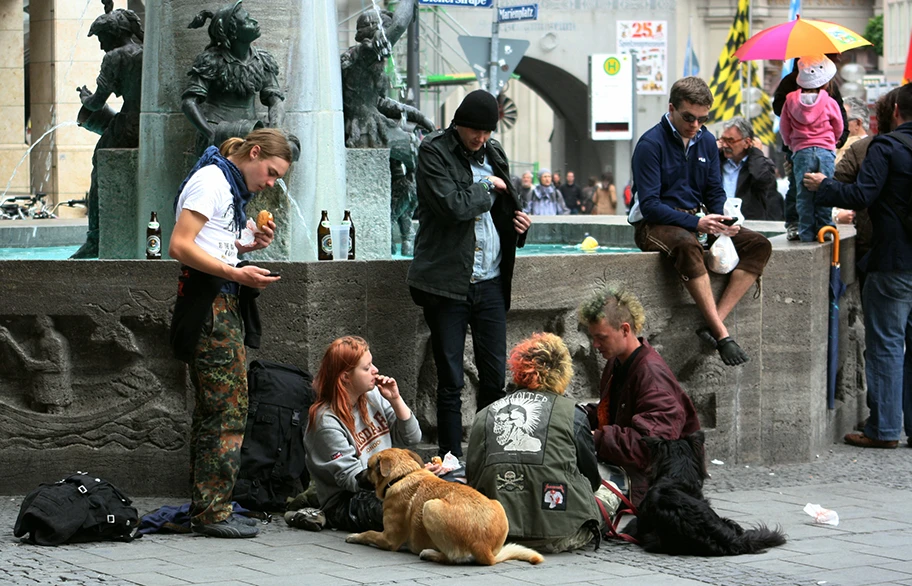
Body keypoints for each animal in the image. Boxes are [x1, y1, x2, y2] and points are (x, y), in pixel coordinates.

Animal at [342, 448, 540, 560]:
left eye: (368, 467)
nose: (355, 476)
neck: (403, 475)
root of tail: (484, 550)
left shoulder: (388, 538)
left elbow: (369, 533)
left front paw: (355, 536)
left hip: (430, 507)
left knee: (451, 557)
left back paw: (430, 554)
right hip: (497, 503)